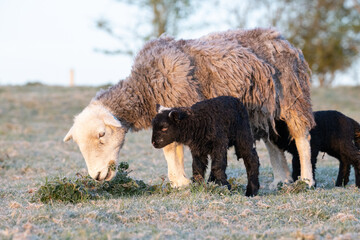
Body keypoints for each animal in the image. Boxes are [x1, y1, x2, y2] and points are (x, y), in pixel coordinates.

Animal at [63, 27, 314, 188]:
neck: (146, 87)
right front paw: (177, 182)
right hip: (262, 108)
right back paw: (281, 179)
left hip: (292, 96)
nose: (96, 176)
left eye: (102, 135)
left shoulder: (180, 108)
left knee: (301, 137)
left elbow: (172, 148)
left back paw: (307, 180)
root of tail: (280, 37)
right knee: (272, 140)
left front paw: (182, 182)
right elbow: (167, 149)